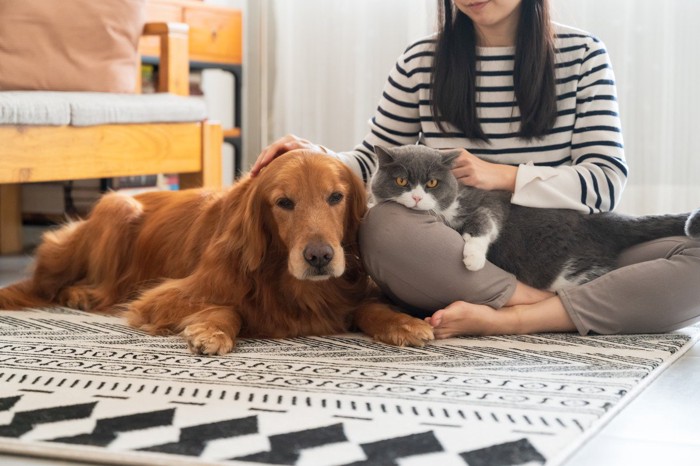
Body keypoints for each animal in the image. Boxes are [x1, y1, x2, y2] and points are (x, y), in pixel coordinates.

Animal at [372, 146, 700, 292]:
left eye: (432, 184)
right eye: (401, 181)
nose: (416, 198)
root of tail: (603, 220)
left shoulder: (490, 201)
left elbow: (484, 223)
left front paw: (473, 259)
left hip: (568, 270)